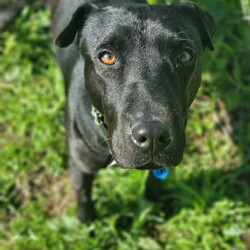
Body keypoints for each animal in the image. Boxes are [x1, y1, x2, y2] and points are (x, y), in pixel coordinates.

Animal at [51, 0, 215, 223]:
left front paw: (155, 202)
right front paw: (86, 224)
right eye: (107, 57)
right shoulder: (80, 165)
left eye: (184, 56)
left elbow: (155, 181)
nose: (153, 134)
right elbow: (84, 197)